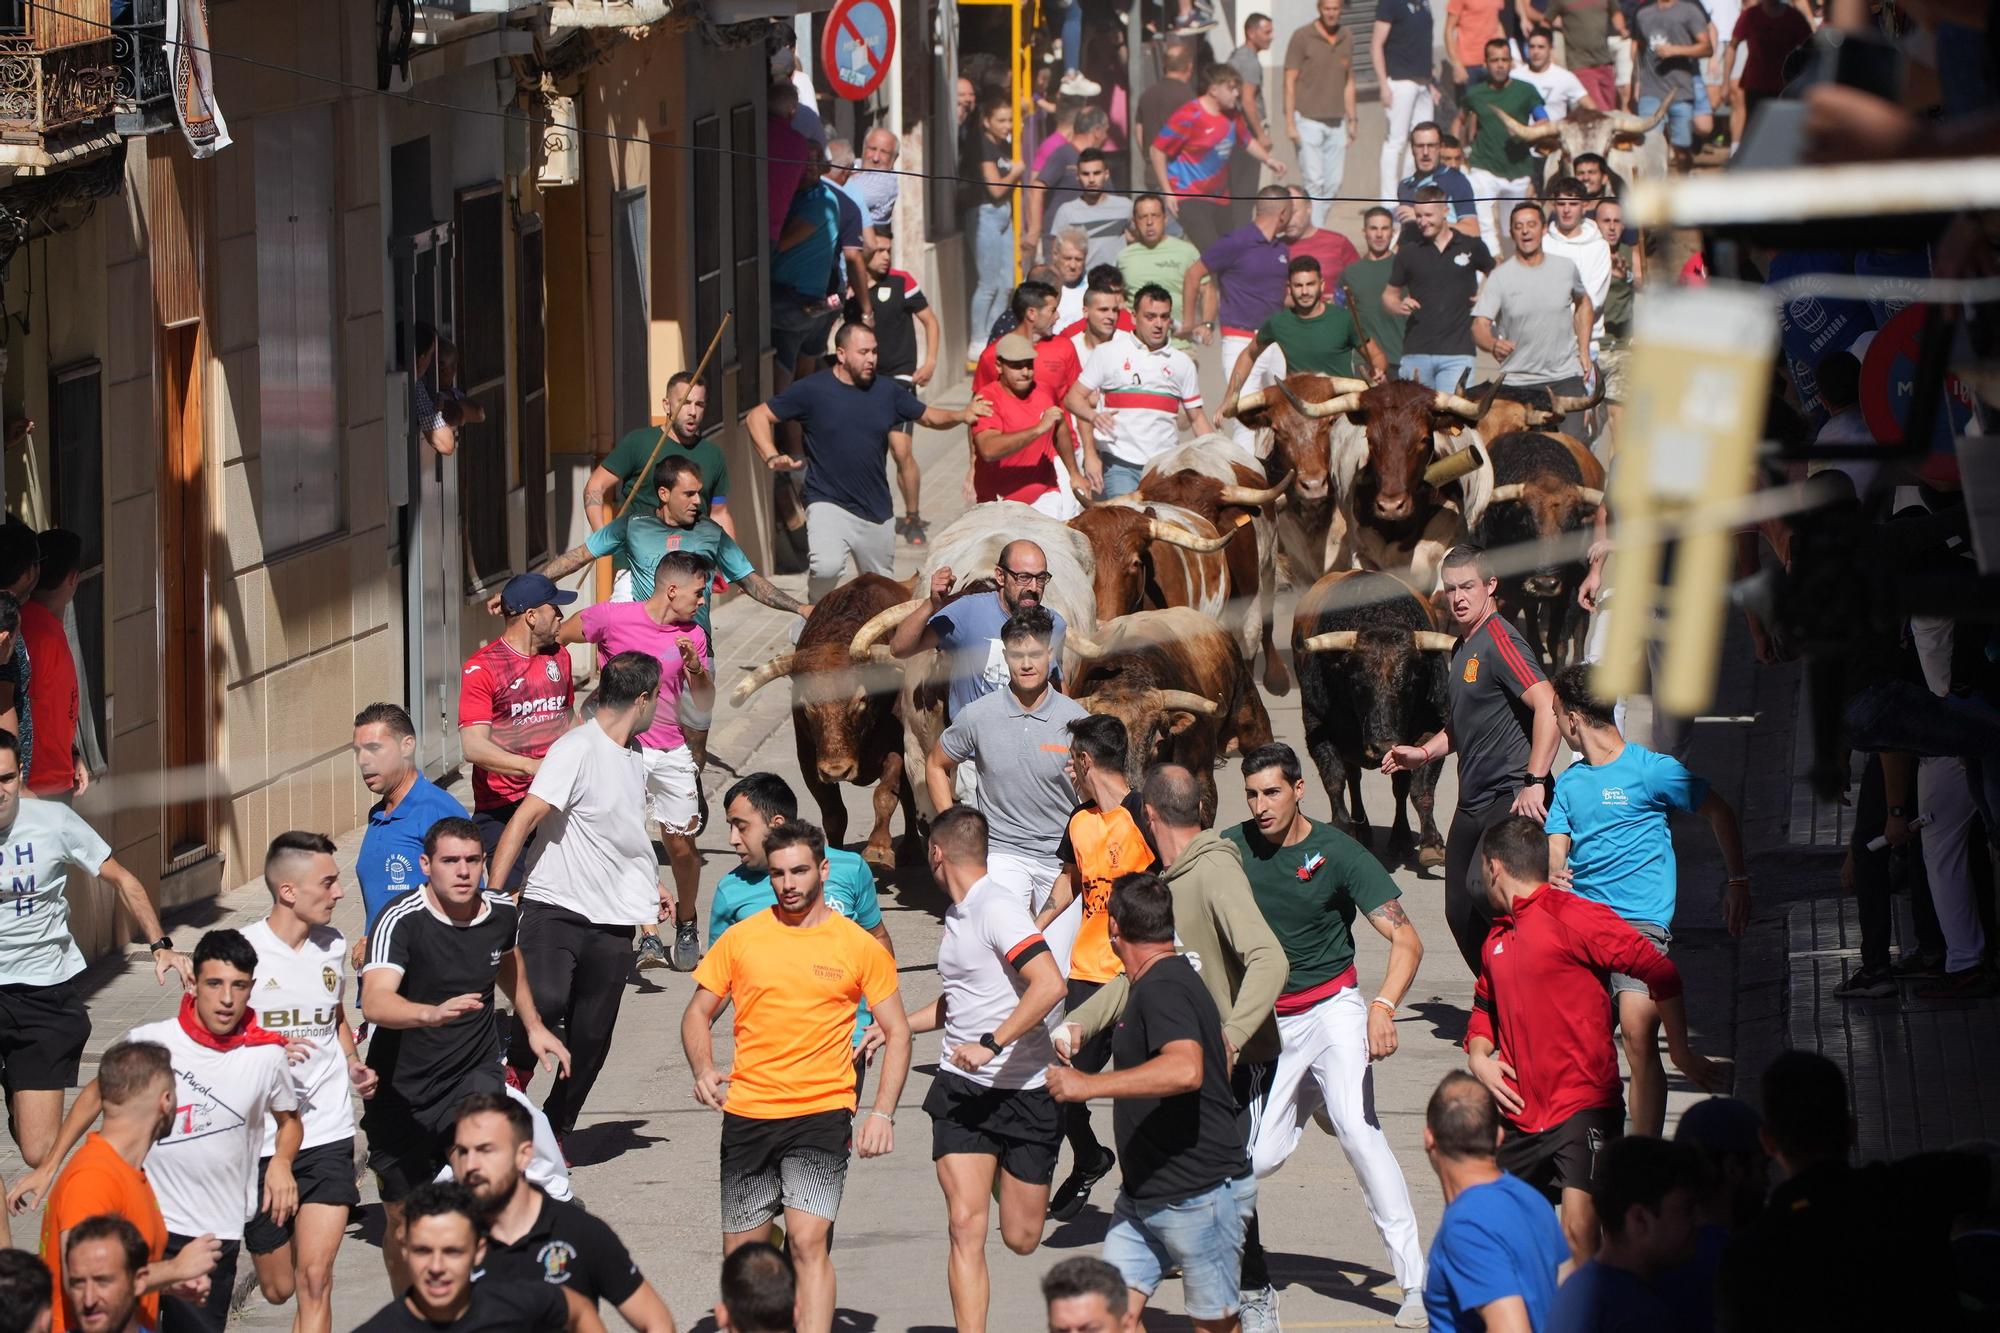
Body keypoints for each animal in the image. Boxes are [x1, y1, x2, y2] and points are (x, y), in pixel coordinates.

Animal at [736, 572, 920, 868]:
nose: (836, 771)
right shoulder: (809, 760)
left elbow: (885, 795)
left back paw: (912, 847)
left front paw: (878, 848)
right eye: (808, 704)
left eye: (861, 699)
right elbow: (834, 814)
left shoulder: (897, 747)